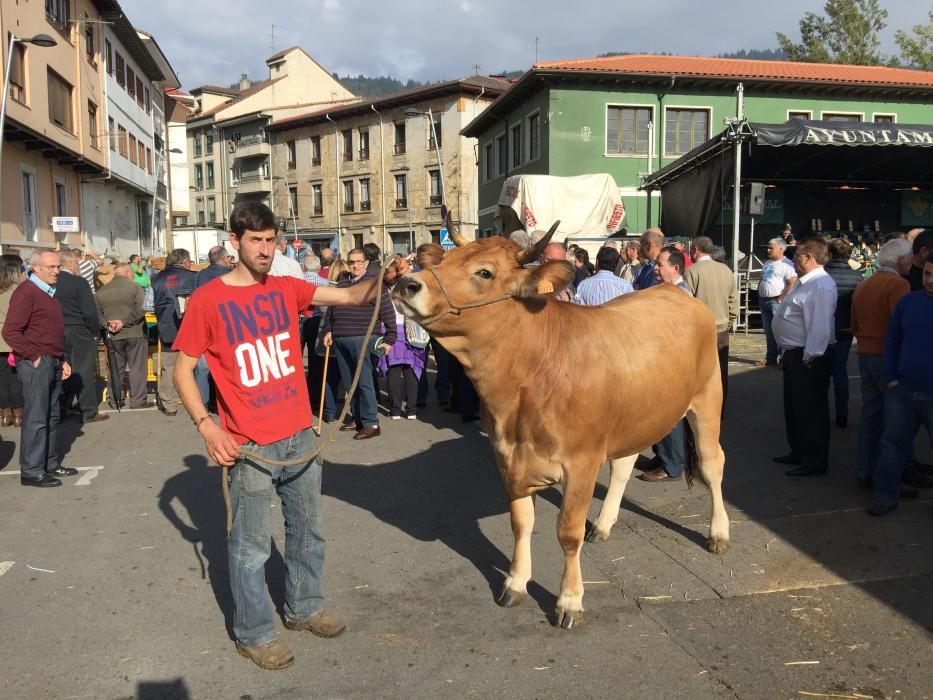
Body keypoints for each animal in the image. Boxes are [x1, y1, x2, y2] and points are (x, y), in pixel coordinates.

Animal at [394, 224, 728, 628]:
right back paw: (603, 524)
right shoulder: (508, 459)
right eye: (442, 261)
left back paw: (718, 534)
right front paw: (515, 583)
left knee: (712, 464)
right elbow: (521, 524)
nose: (407, 283)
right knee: (624, 465)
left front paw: (570, 600)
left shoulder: (581, 462)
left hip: (707, 399)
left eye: (484, 272)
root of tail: (676, 292)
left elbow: (568, 533)